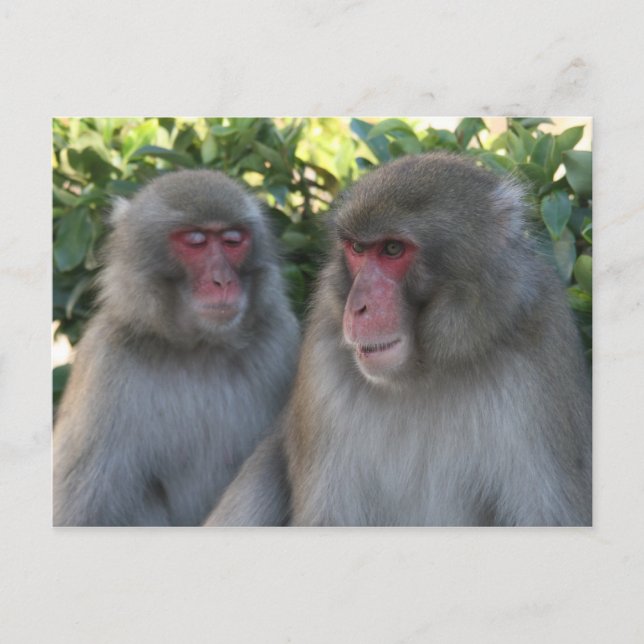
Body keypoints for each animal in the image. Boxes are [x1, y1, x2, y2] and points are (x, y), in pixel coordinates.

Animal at [53, 169, 299, 526]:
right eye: (196, 241)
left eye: (233, 240)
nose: (222, 281)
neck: (201, 348)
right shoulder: (105, 362)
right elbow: (80, 514)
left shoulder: (281, 337)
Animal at [206, 152, 592, 527]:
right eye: (357, 249)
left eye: (392, 249)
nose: (357, 307)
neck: (425, 373)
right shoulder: (323, 358)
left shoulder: (540, 350)